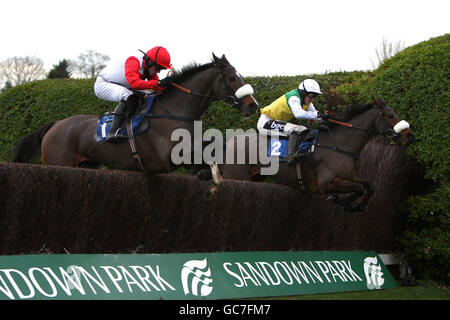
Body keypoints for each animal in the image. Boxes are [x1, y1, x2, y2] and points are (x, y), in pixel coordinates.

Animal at [12, 53, 258, 172]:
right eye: (232, 78)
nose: (253, 105)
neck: (173, 111)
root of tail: (55, 125)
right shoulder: (168, 158)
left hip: (85, 164)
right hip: (58, 163)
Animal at [214, 98, 414, 212]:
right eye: (390, 115)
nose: (410, 136)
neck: (339, 145)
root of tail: (230, 141)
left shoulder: (349, 177)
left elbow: (369, 186)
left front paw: (356, 205)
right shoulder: (325, 184)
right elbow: (359, 188)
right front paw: (342, 202)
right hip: (237, 175)